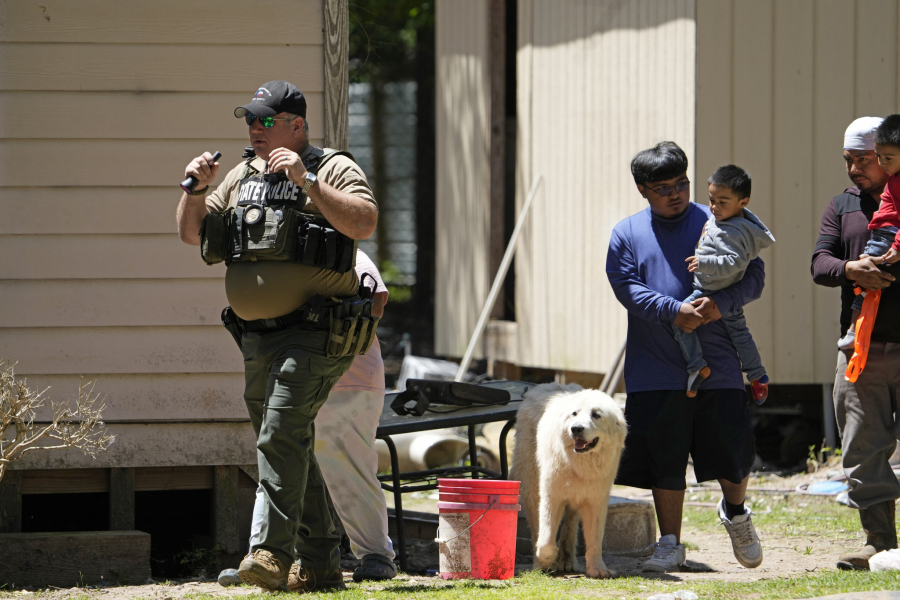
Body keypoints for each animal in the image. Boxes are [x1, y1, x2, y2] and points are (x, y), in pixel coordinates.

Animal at [510, 384, 628, 576]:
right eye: (574, 414)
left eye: (596, 415)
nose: (576, 428)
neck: (579, 463)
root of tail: (538, 388)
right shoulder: (552, 495)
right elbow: (546, 541)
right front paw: (546, 560)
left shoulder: (596, 499)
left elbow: (595, 538)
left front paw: (598, 569)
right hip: (531, 482)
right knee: (536, 524)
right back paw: (540, 563)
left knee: (570, 524)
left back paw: (566, 560)